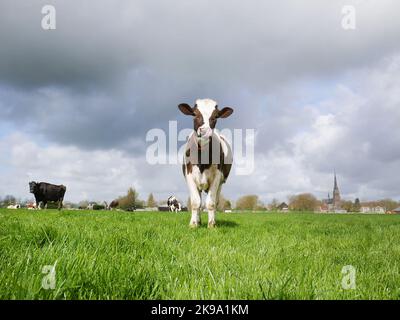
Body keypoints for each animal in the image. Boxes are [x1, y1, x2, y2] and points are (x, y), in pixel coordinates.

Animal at [179, 98, 233, 228]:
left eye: (216, 116)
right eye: (194, 114)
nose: (205, 131)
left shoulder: (217, 177)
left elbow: (211, 203)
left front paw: (212, 225)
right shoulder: (189, 176)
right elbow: (195, 202)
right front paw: (193, 224)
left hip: (220, 183)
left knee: (215, 201)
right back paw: (198, 220)